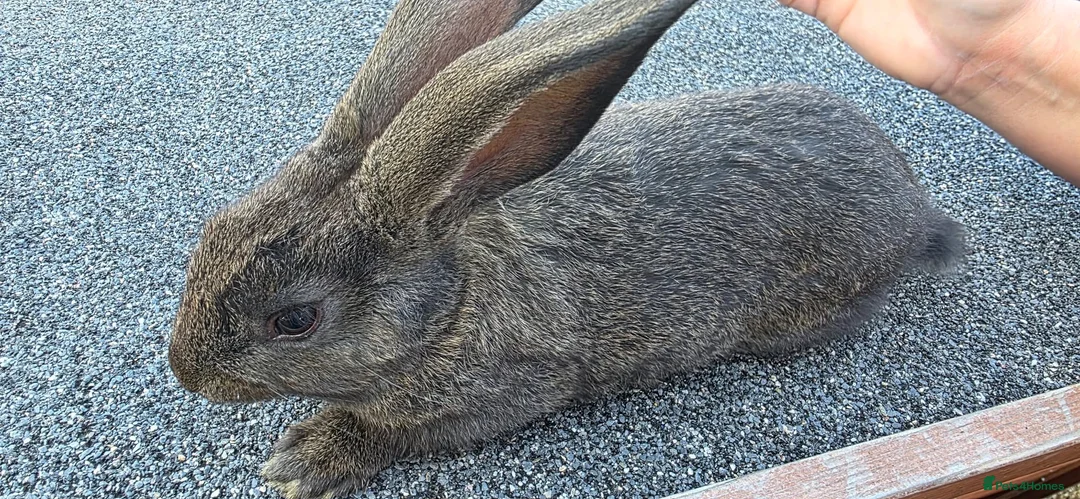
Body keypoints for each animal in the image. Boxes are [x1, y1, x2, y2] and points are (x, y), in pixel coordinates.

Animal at [167, 0, 966, 497]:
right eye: (214, 228)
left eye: (294, 319)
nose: (186, 372)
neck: (447, 309)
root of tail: (914, 208)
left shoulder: (516, 389)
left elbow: (401, 433)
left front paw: (306, 459)